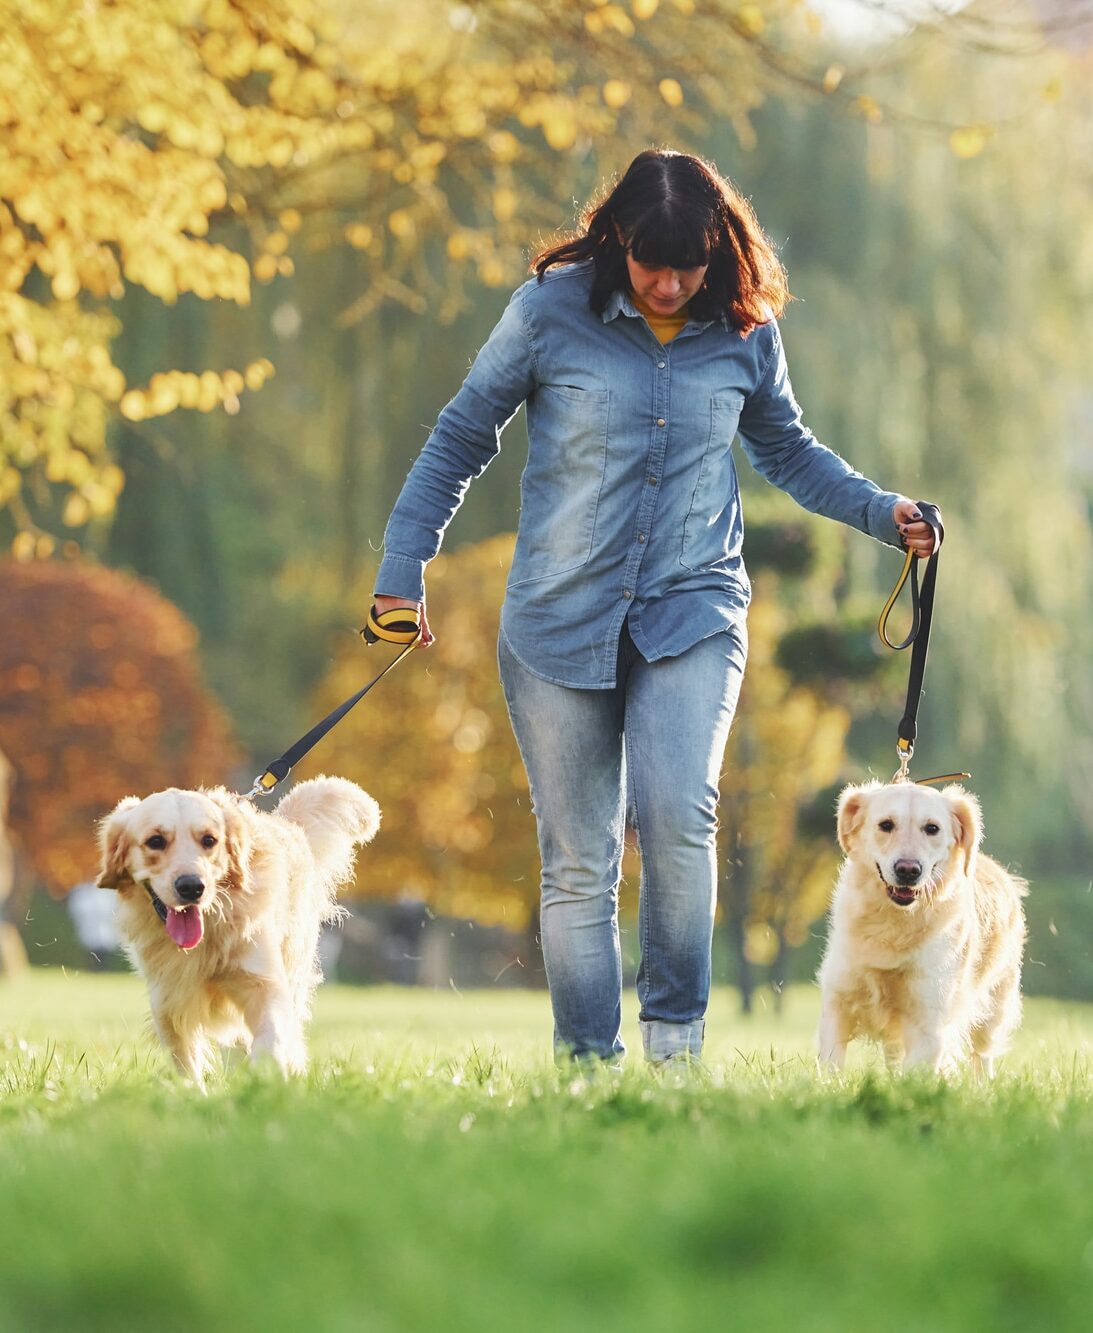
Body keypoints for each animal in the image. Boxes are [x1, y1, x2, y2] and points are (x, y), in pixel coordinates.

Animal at [97, 778, 381, 1087]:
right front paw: (193, 1093)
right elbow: (185, 1066)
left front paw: (266, 1080)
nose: (192, 887)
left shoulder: (264, 981)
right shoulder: (168, 1000)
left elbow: (270, 1040)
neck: (210, 931)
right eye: (155, 841)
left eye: (209, 840)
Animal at [821, 778, 1023, 1082]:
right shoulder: (838, 998)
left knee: (983, 1055)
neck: (895, 922)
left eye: (932, 828)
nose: (908, 870)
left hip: (994, 1007)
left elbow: (914, 1076)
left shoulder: (929, 1019)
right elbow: (830, 1063)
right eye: (886, 824)